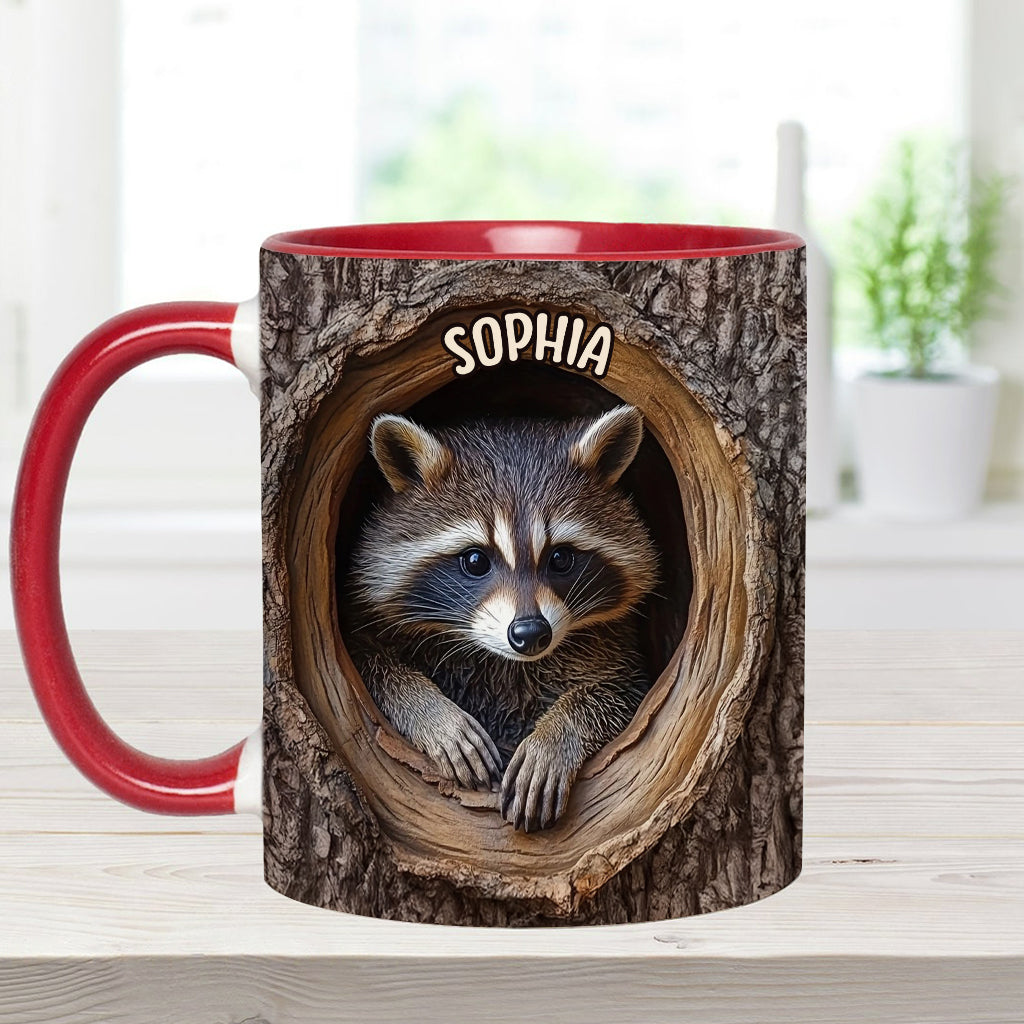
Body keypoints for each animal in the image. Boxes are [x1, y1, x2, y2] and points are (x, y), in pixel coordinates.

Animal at [345, 405, 658, 832]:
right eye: (476, 560)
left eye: (561, 558)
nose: (530, 632)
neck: (504, 660)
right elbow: (371, 664)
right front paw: (432, 712)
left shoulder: (612, 649)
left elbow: (618, 693)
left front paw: (556, 735)